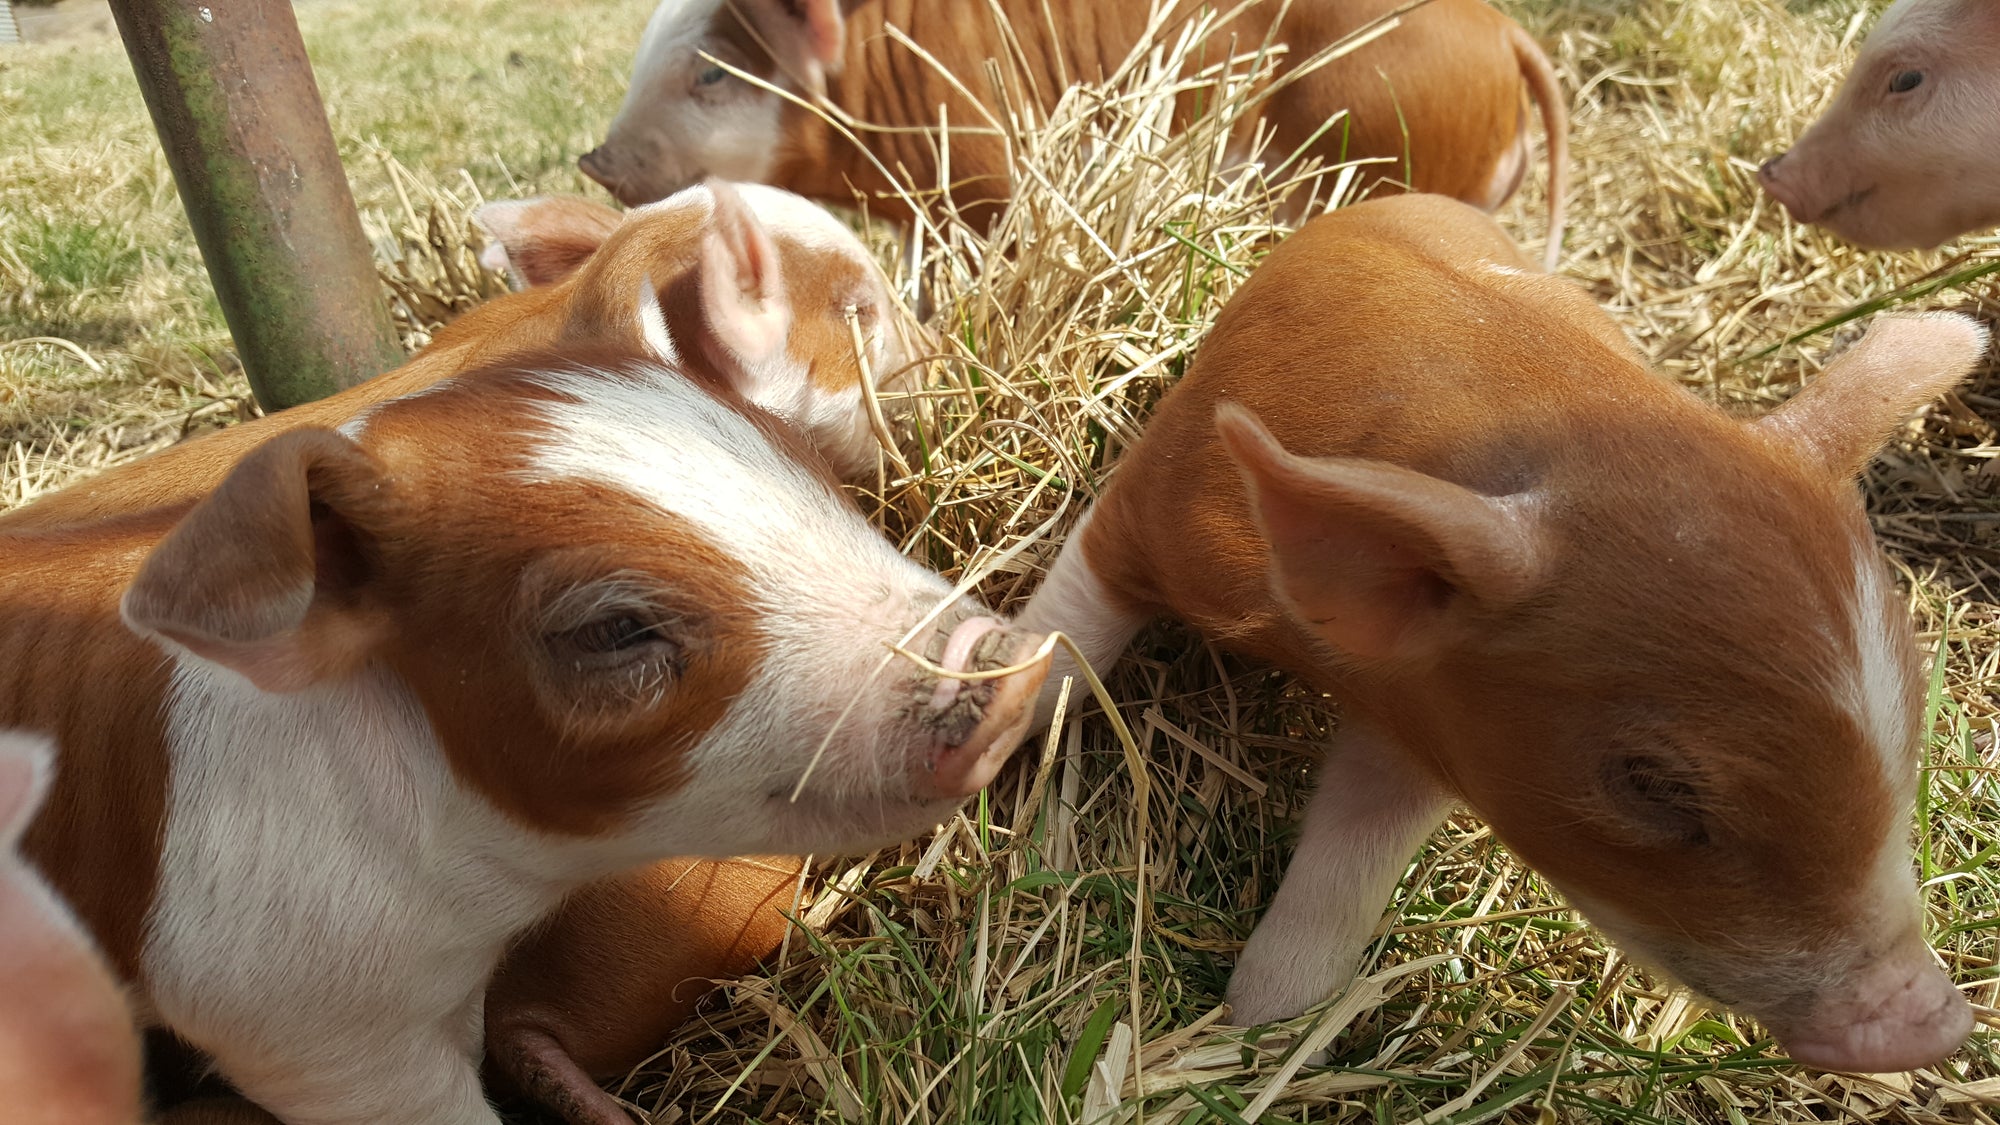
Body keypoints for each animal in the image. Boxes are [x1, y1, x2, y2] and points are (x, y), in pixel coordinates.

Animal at [1016, 192, 1986, 1073]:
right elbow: (1062, 637)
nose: (1932, 1021)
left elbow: (1347, 866)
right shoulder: (1154, 501)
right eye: (1654, 784)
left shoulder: (1437, 726)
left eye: (1911, 728)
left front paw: (1257, 1030)